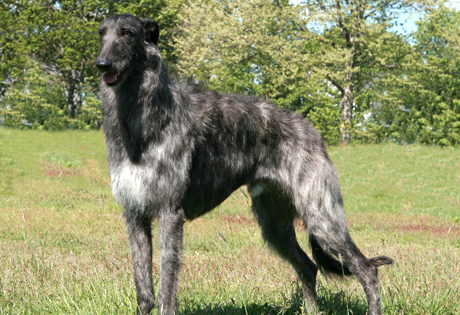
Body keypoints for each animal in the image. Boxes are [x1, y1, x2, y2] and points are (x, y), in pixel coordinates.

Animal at [96, 14, 392, 315]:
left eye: (127, 33)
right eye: (102, 33)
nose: (101, 64)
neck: (141, 117)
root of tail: (312, 131)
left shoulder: (170, 212)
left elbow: (166, 289)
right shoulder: (134, 213)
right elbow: (144, 291)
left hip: (321, 216)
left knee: (366, 269)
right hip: (274, 222)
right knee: (308, 267)